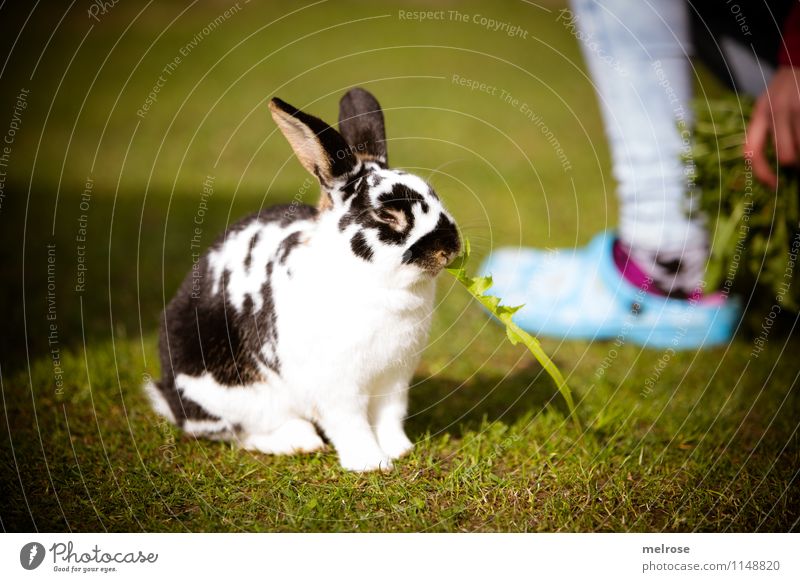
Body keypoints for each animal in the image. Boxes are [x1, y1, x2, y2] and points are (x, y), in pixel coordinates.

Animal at [147, 88, 462, 474]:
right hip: (234, 393)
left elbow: (389, 417)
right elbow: (352, 424)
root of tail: (170, 397)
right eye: (387, 215)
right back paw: (300, 440)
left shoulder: (394, 377)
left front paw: (400, 450)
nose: (448, 248)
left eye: (435, 195)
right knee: (239, 431)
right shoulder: (337, 387)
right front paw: (371, 463)